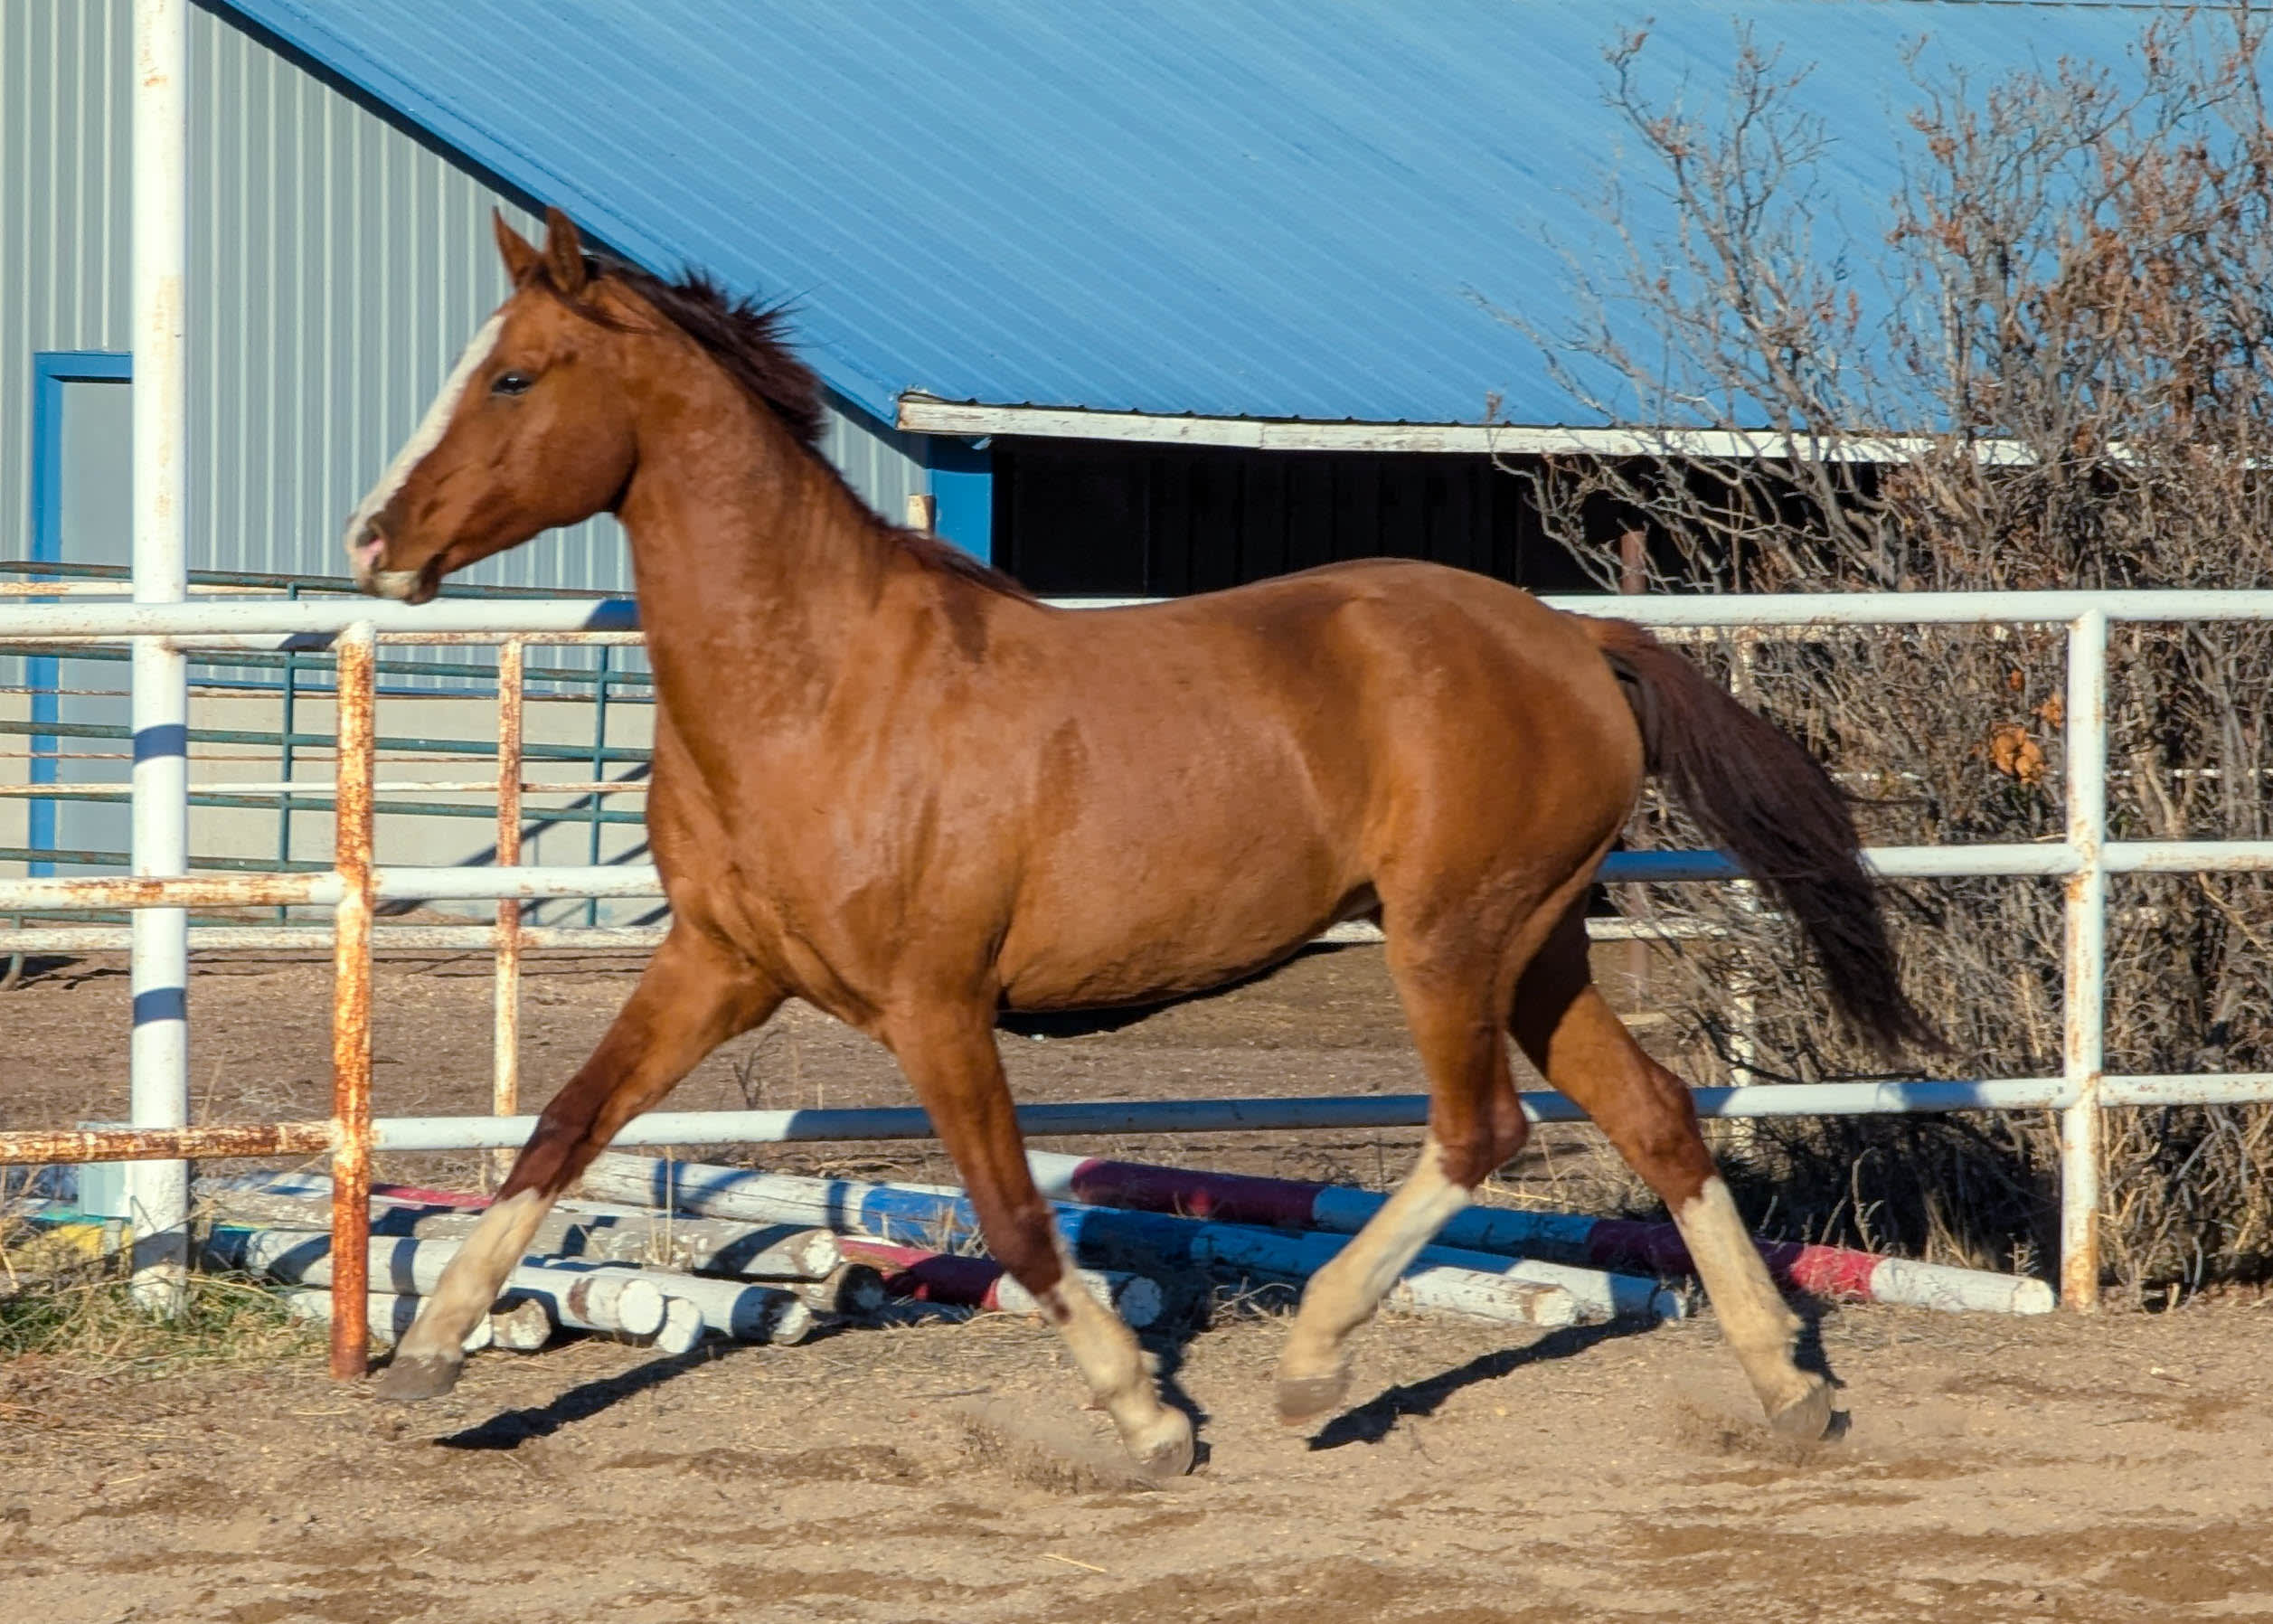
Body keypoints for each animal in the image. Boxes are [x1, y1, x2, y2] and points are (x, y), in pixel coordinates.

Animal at [350, 208, 1931, 1476]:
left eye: (513, 375)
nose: (375, 541)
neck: (817, 684)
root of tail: (1574, 638)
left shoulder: (934, 1005)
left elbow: (1012, 1216)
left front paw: (1149, 1417)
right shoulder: (715, 966)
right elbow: (560, 1127)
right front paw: (427, 1355)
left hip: (1451, 938)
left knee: (1477, 1130)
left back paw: (1311, 1366)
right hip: (1535, 947)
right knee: (1655, 1116)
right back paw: (1789, 1390)